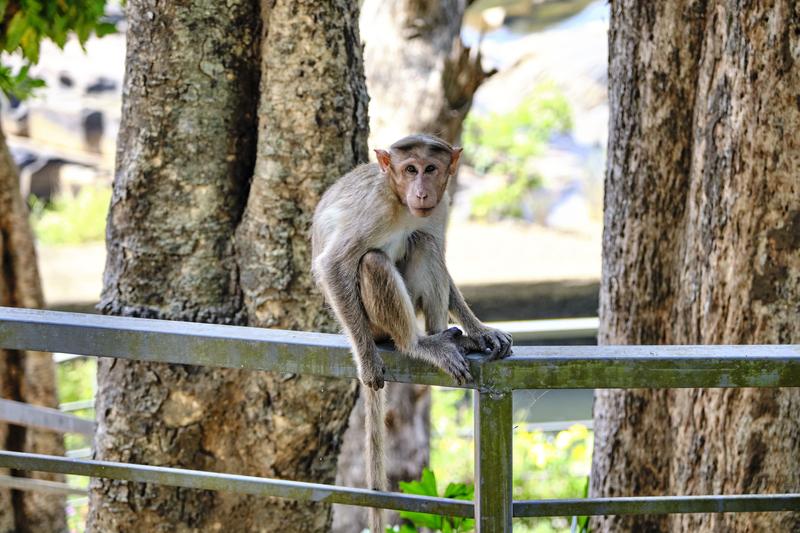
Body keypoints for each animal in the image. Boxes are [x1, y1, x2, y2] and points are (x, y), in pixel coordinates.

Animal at [312, 132, 512, 528]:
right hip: (372, 323)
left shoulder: (442, 205)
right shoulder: (374, 209)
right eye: (409, 169)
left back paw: (451, 336)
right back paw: (418, 344)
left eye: (430, 168)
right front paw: (367, 364)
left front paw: (479, 330)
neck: (401, 204)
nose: (421, 192)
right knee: (373, 262)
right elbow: (333, 265)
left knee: (425, 242)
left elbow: (436, 247)